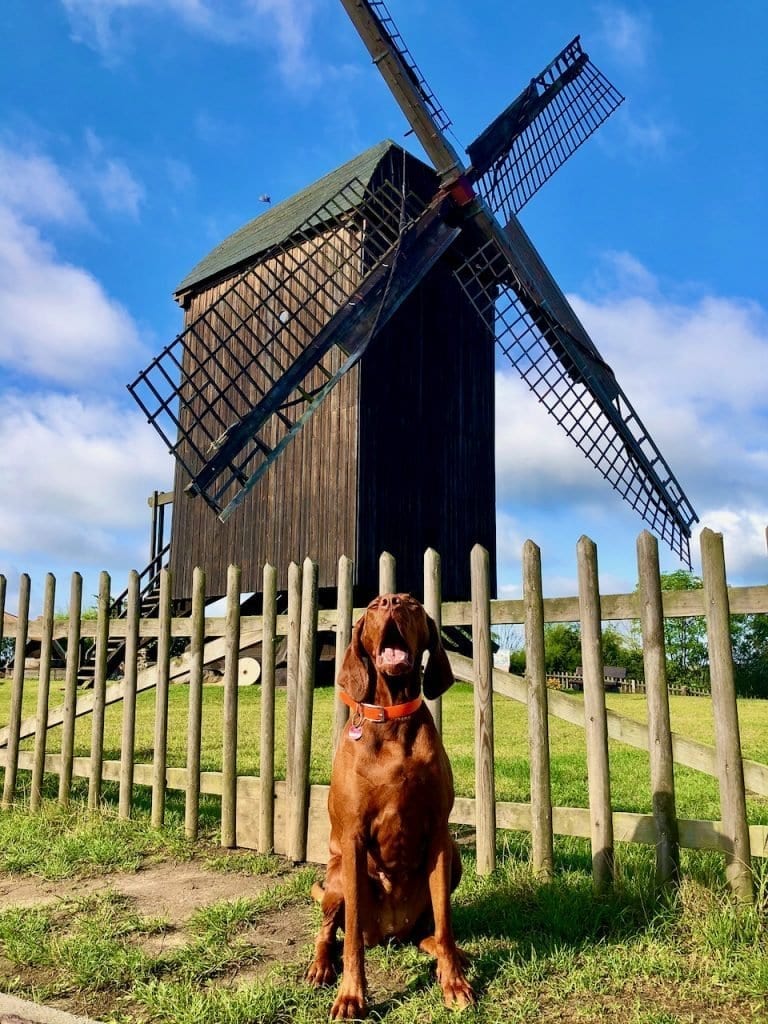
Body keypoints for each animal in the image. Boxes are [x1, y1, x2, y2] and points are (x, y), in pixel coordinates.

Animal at [309, 593, 475, 1015]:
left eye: (413, 604)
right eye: (371, 606)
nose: (391, 601)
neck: (392, 721)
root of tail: (388, 934)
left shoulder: (439, 834)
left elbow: (446, 923)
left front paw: (453, 982)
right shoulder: (353, 838)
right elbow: (349, 938)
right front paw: (351, 995)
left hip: (453, 858)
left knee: (429, 931)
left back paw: (450, 954)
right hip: (337, 877)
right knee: (329, 932)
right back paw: (321, 966)